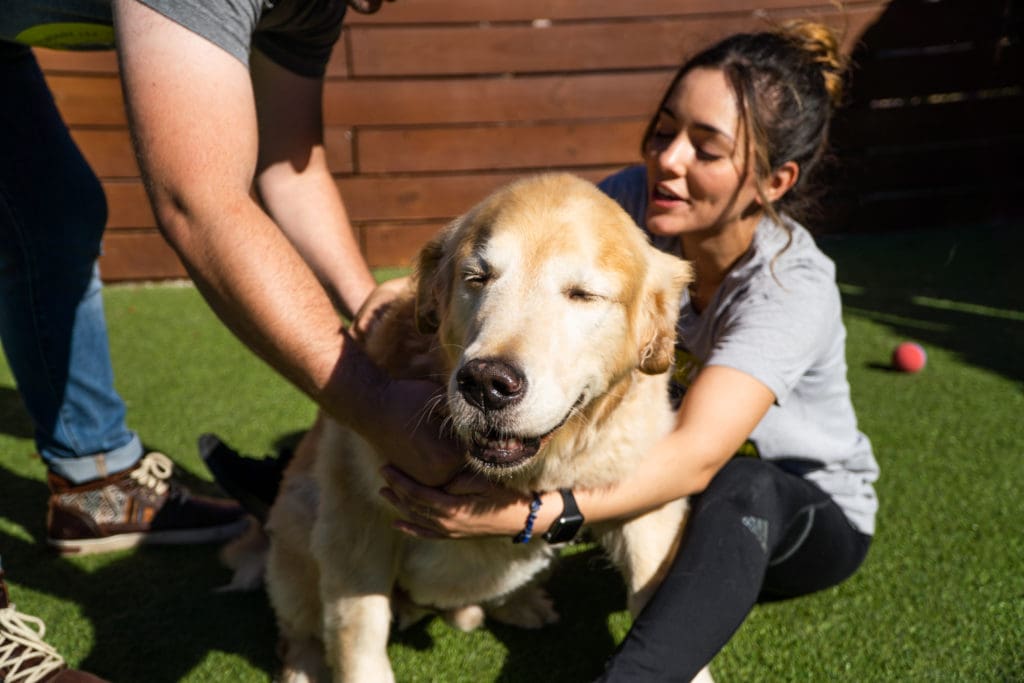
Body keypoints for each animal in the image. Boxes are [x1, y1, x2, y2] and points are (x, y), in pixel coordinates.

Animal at [232, 175, 700, 683]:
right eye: (477, 278)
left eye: (582, 294)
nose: (487, 384)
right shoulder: (355, 519)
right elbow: (359, 635)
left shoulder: (647, 507)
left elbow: (667, 618)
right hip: (298, 521)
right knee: (299, 627)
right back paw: (303, 663)